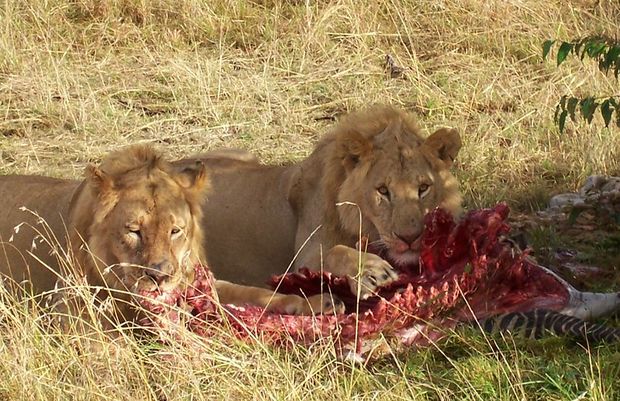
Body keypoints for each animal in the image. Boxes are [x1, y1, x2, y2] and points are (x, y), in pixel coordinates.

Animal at [0, 145, 342, 328]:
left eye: (175, 230)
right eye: (133, 231)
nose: (159, 277)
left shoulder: (198, 283)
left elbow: (255, 293)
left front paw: (318, 302)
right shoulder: (67, 313)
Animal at [177, 104, 462, 298]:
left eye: (423, 188)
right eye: (382, 190)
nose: (410, 237)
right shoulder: (302, 260)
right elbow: (336, 251)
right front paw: (372, 271)